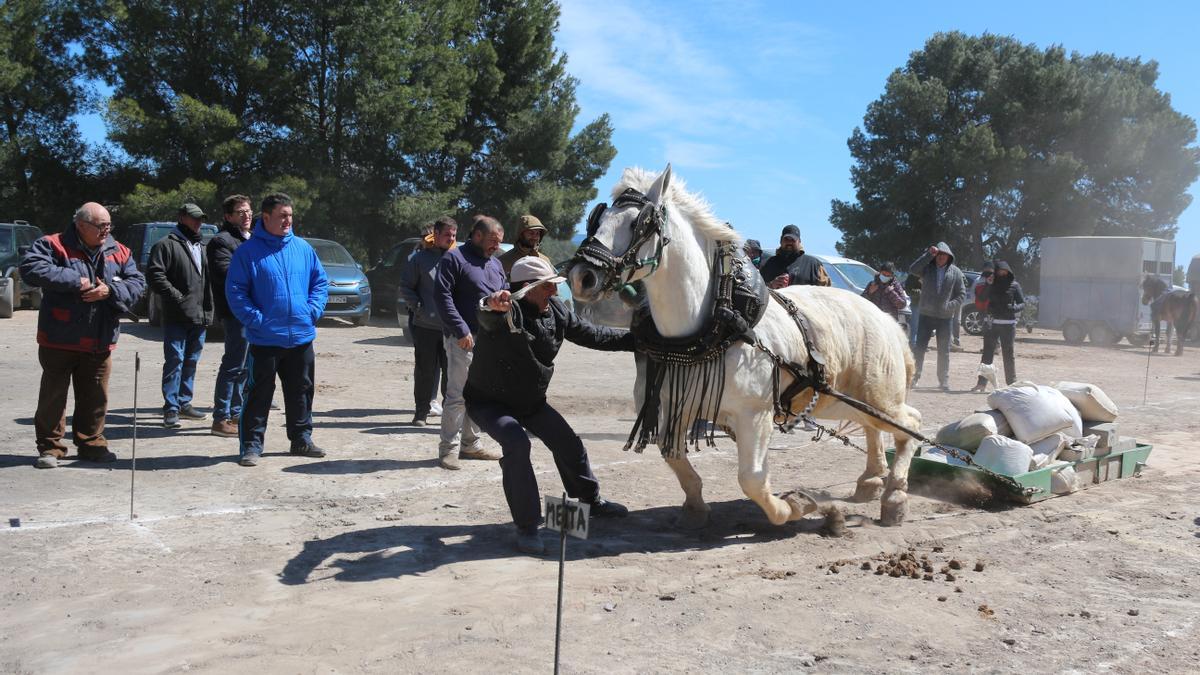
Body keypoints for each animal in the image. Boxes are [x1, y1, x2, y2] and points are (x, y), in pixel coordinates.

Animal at [566, 163, 921, 526]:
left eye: (637, 223)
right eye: (598, 218)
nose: (581, 276)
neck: (715, 325)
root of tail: (885, 318)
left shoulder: (755, 415)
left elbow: (751, 478)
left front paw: (795, 506)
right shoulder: (673, 406)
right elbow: (673, 456)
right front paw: (695, 507)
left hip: (876, 397)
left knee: (910, 424)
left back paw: (894, 496)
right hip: (840, 400)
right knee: (876, 428)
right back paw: (872, 480)